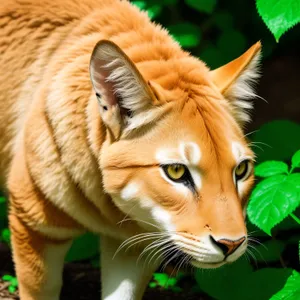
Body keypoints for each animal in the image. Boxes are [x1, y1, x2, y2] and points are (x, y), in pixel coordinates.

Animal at [0, 0, 260, 298]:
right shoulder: (34, 225)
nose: (232, 244)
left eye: (241, 170)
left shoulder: (133, 245)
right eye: (176, 171)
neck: (109, 206)